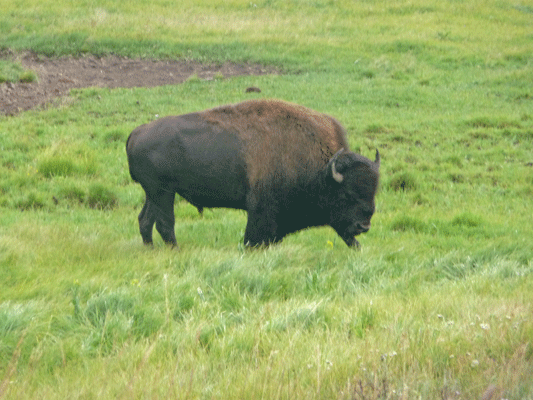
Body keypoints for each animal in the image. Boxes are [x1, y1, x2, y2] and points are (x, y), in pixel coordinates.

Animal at [127, 100, 380, 248]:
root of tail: (136, 133)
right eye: (347, 195)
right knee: (165, 222)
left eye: (373, 193)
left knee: (145, 219)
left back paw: (151, 248)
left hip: (154, 194)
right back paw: (175, 250)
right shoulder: (261, 208)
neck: (323, 170)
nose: (363, 227)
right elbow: (255, 235)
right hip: (163, 192)